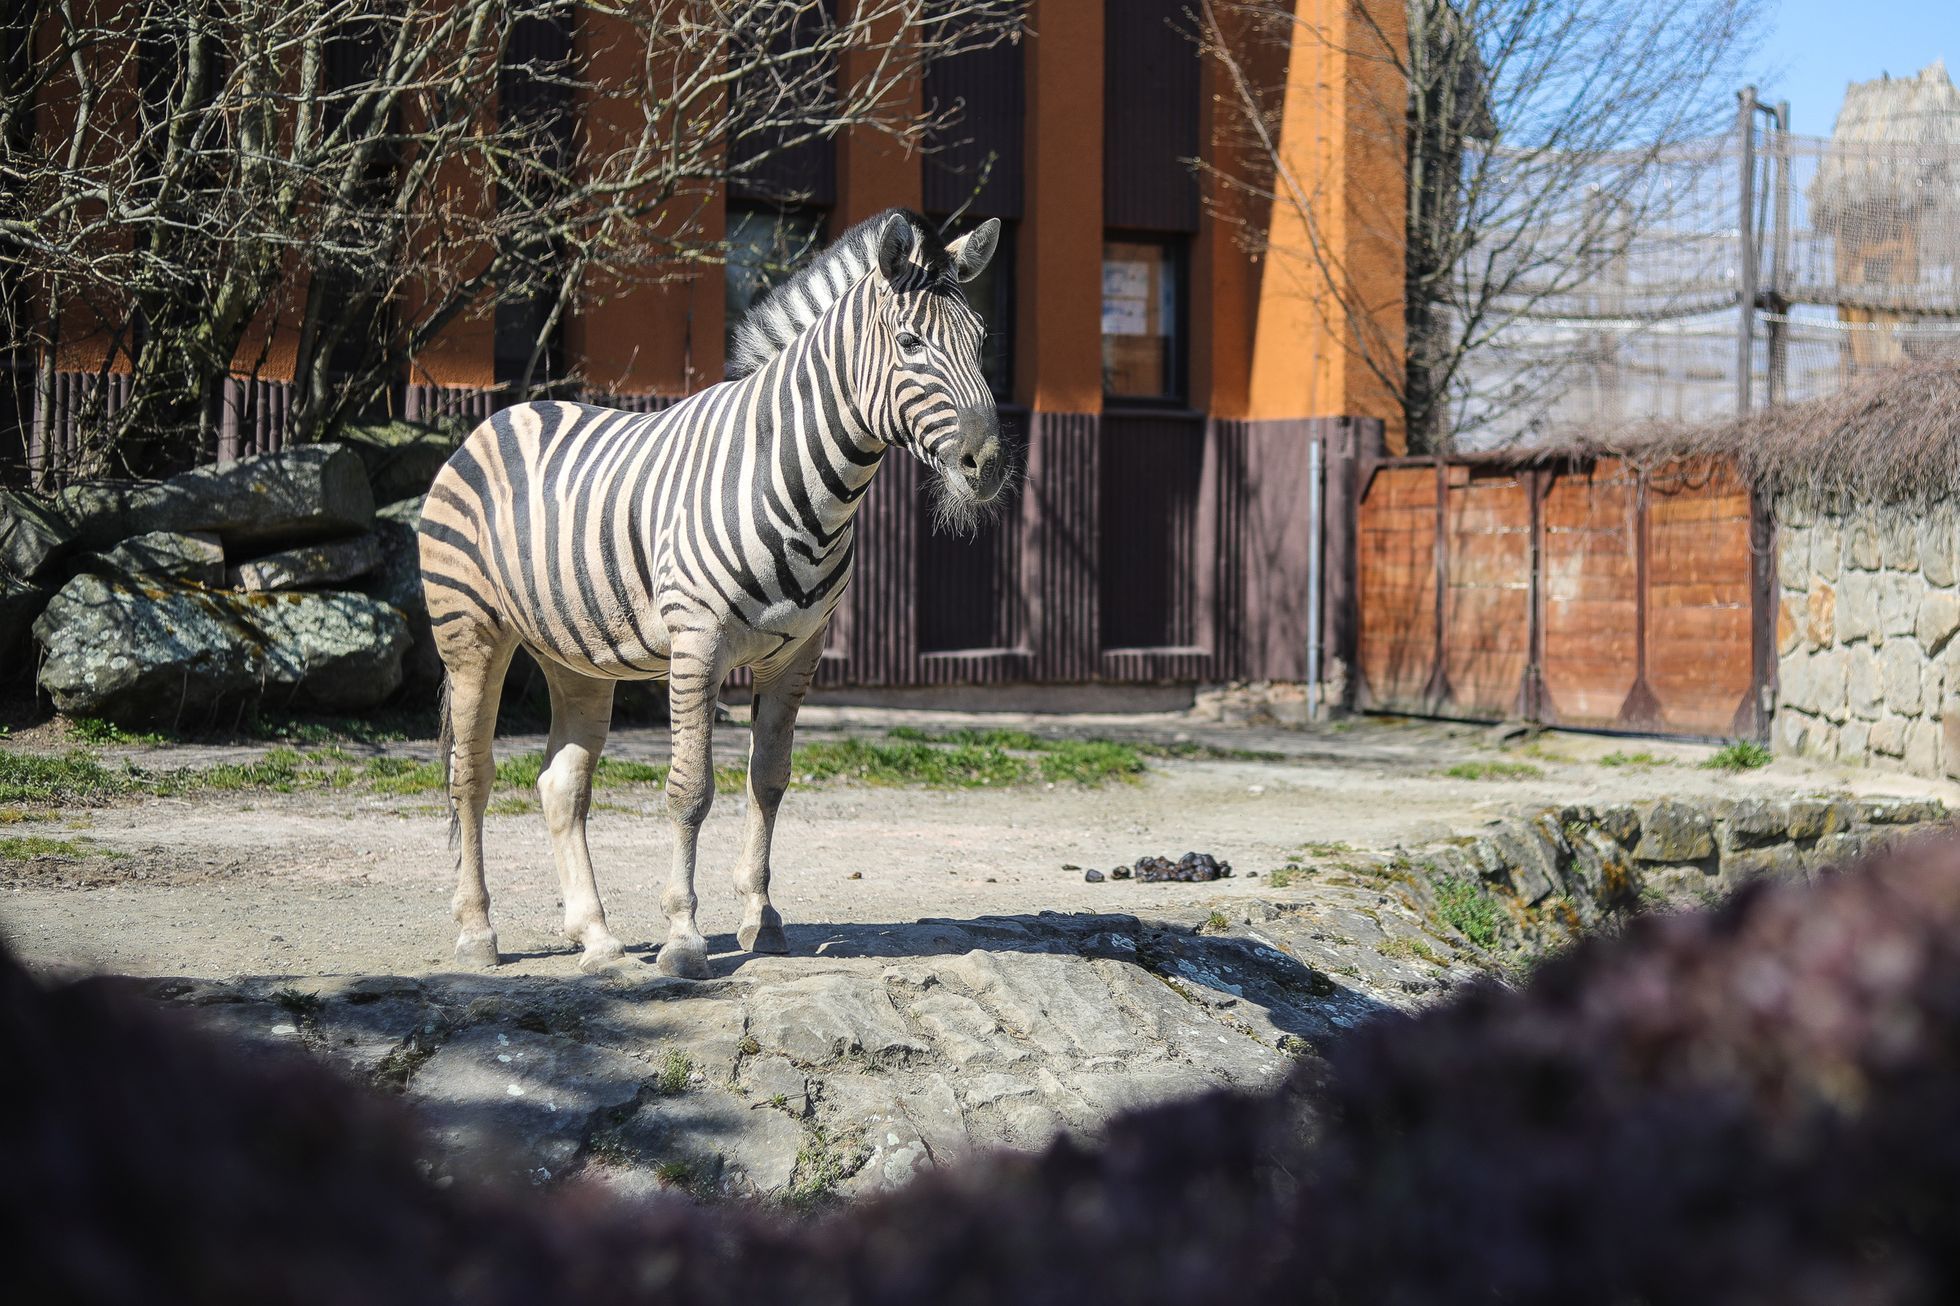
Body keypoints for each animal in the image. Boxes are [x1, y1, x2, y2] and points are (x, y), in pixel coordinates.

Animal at [409, 208, 995, 972]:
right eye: (909, 342)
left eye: (982, 344)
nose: (990, 462)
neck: (798, 480)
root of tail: (508, 413)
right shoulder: (698, 642)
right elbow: (690, 790)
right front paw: (684, 937)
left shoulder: (798, 654)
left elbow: (768, 781)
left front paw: (761, 918)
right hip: (470, 632)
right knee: (470, 775)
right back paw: (478, 931)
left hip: (576, 653)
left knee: (562, 785)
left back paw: (596, 937)